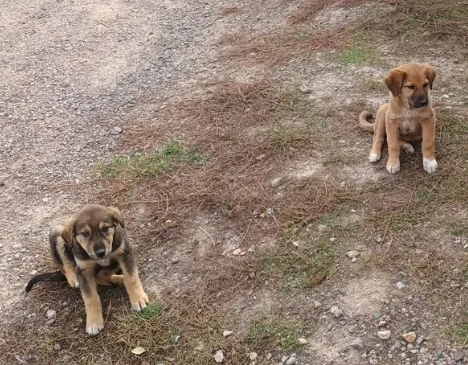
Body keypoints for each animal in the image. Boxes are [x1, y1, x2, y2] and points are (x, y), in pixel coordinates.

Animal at [27, 203, 148, 334]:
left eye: (105, 228)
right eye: (85, 234)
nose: (100, 253)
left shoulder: (125, 253)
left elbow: (131, 278)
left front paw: (138, 298)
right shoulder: (83, 271)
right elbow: (90, 298)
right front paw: (94, 322)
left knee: (101, 276)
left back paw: (120, 279)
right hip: (57, 233)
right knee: (65, 265)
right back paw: (74, 278)